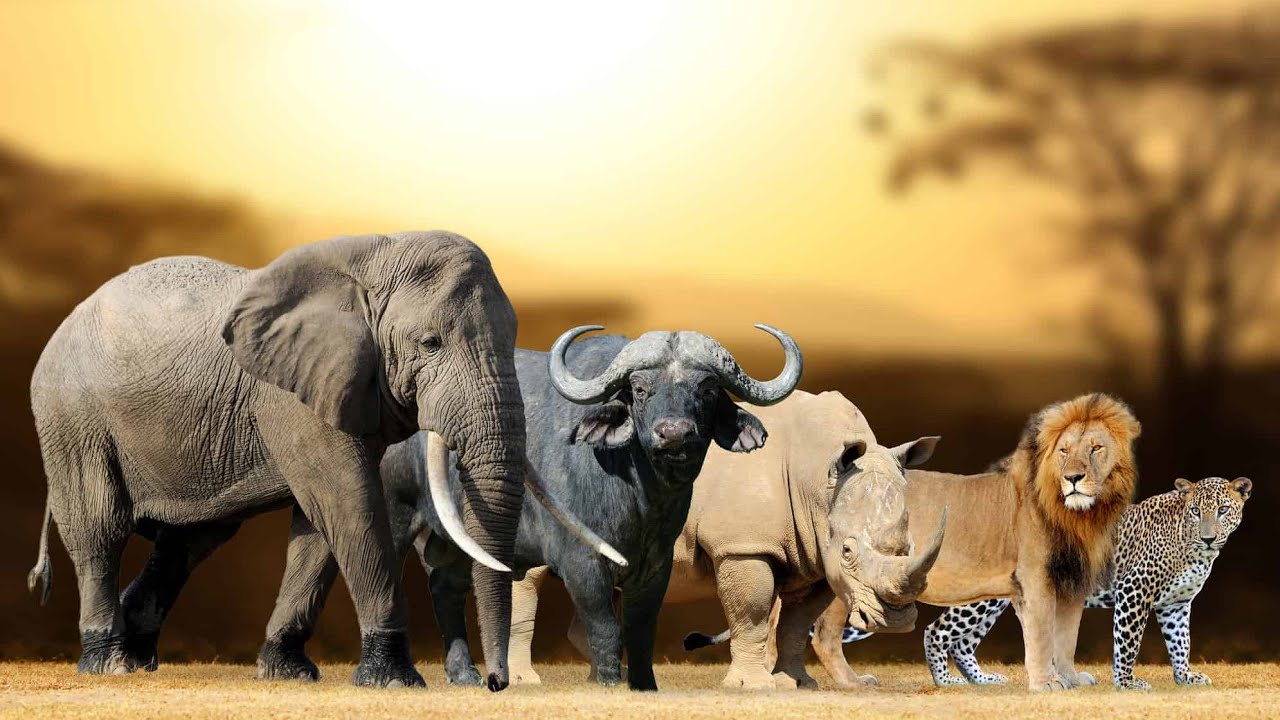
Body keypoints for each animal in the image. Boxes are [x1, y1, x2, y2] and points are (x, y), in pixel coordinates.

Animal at [27, 231, 611, 690]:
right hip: (71, 415)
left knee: (192, 539)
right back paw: (110, 662)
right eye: (430, 343)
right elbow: (347, 501)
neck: (376, 257)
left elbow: (318, 525)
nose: (495, 684)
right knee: (100, 528)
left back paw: (139, 654)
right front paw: (393, 679)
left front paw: (286, 672)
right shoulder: (292, 392)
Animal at [260, 325, 803, 691]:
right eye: (640, 389)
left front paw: (643, 685)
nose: (674, 434)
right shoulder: (581, 561)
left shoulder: (657, 566)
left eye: (707, 390)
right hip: (395, 513)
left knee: (446, 589)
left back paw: (464, 673)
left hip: (451, 539)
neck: (639, 497)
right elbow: (604, 624)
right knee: (379, 572)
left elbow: (640, 627)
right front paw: (607, 682)